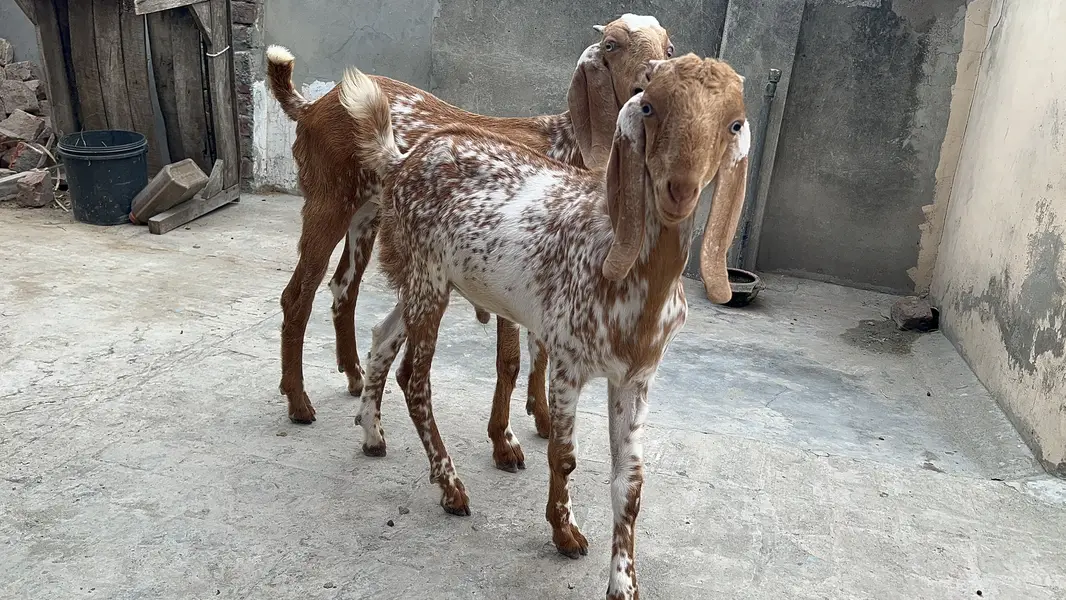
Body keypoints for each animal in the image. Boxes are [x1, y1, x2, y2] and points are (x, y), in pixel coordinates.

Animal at [266, 16, 672, 473]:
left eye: (669, 48)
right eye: (611, 44)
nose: (649, 85)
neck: (564, 145)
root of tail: (313, 106)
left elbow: (540, 351)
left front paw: (542, 419)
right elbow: (510, 361)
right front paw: (504, 442)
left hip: (368, 215)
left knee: (344, 288)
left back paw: (354, 377)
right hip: (328, 201)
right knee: (297, 295)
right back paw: (298, 401)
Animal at [339, 53, 749, 599]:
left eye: (733, 124)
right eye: (650, 107)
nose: (678, 190)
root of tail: (403, 160)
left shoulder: (636, 379)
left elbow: (631, 483)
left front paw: (623, 583)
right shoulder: (568, 362)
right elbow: (564, 454)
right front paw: (565, 532)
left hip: (424, 281)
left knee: (382, 336)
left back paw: (372, 435)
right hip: (427, 277)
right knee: (415, 379)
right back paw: (451, 488)